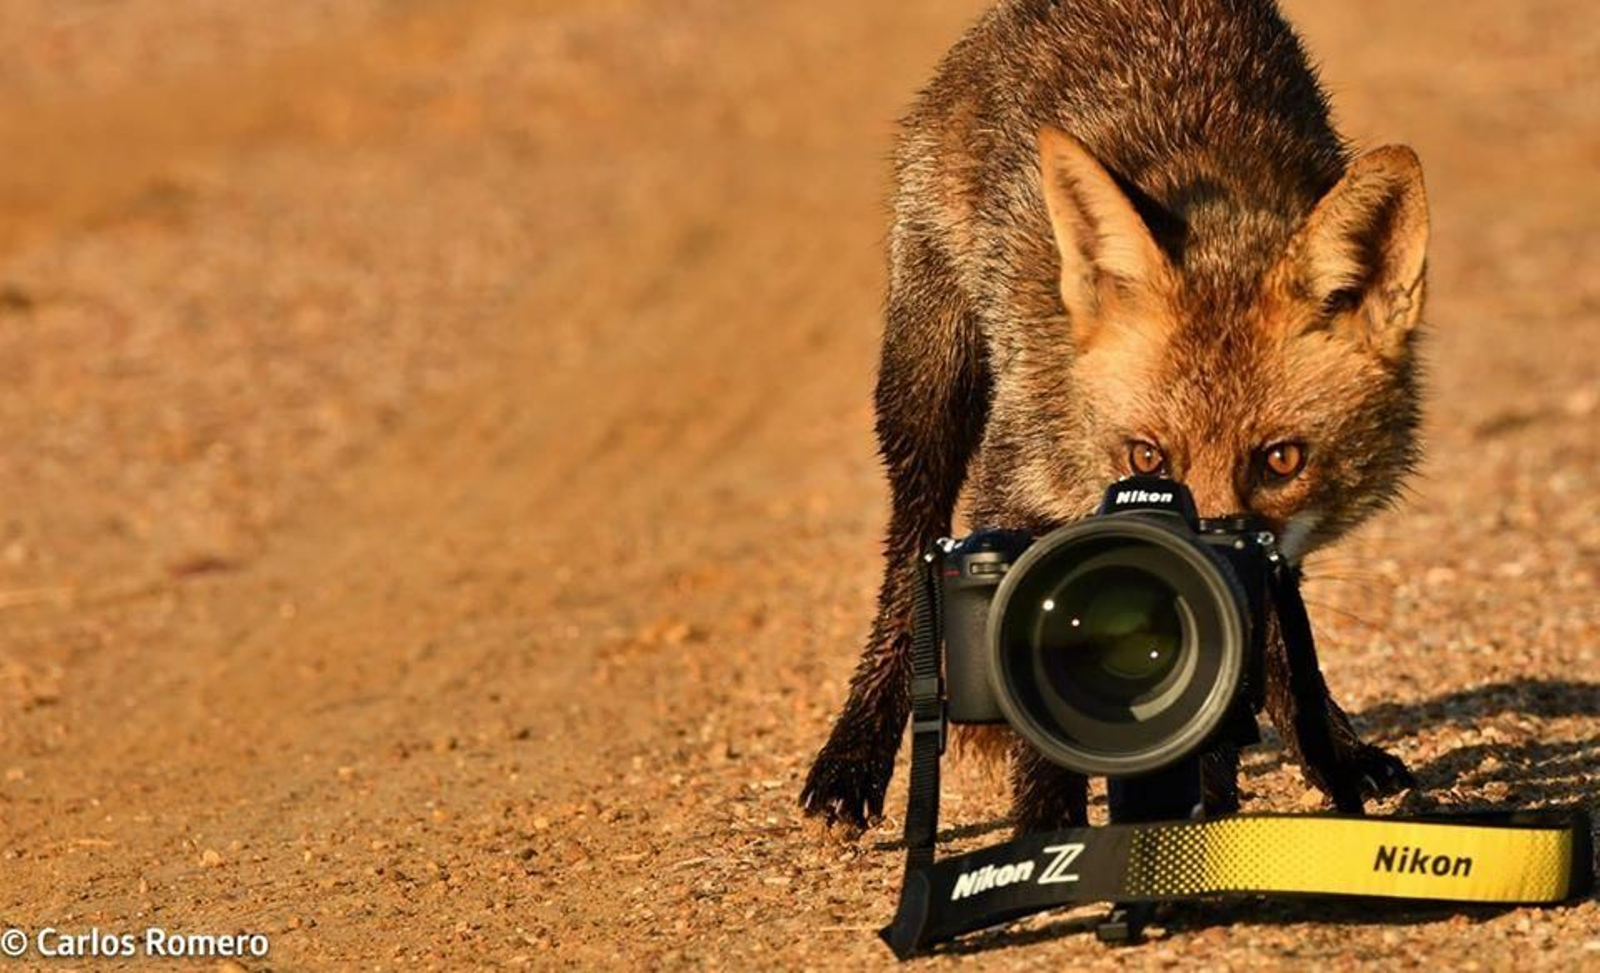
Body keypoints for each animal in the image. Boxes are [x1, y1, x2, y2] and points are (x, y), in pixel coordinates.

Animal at [801, 0, 1426, 834]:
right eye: (1146, 458)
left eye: (1282, 459)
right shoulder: (1019, 483)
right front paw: (1049, 831)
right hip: (927, 394)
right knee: (907, 554)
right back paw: (854, 753)